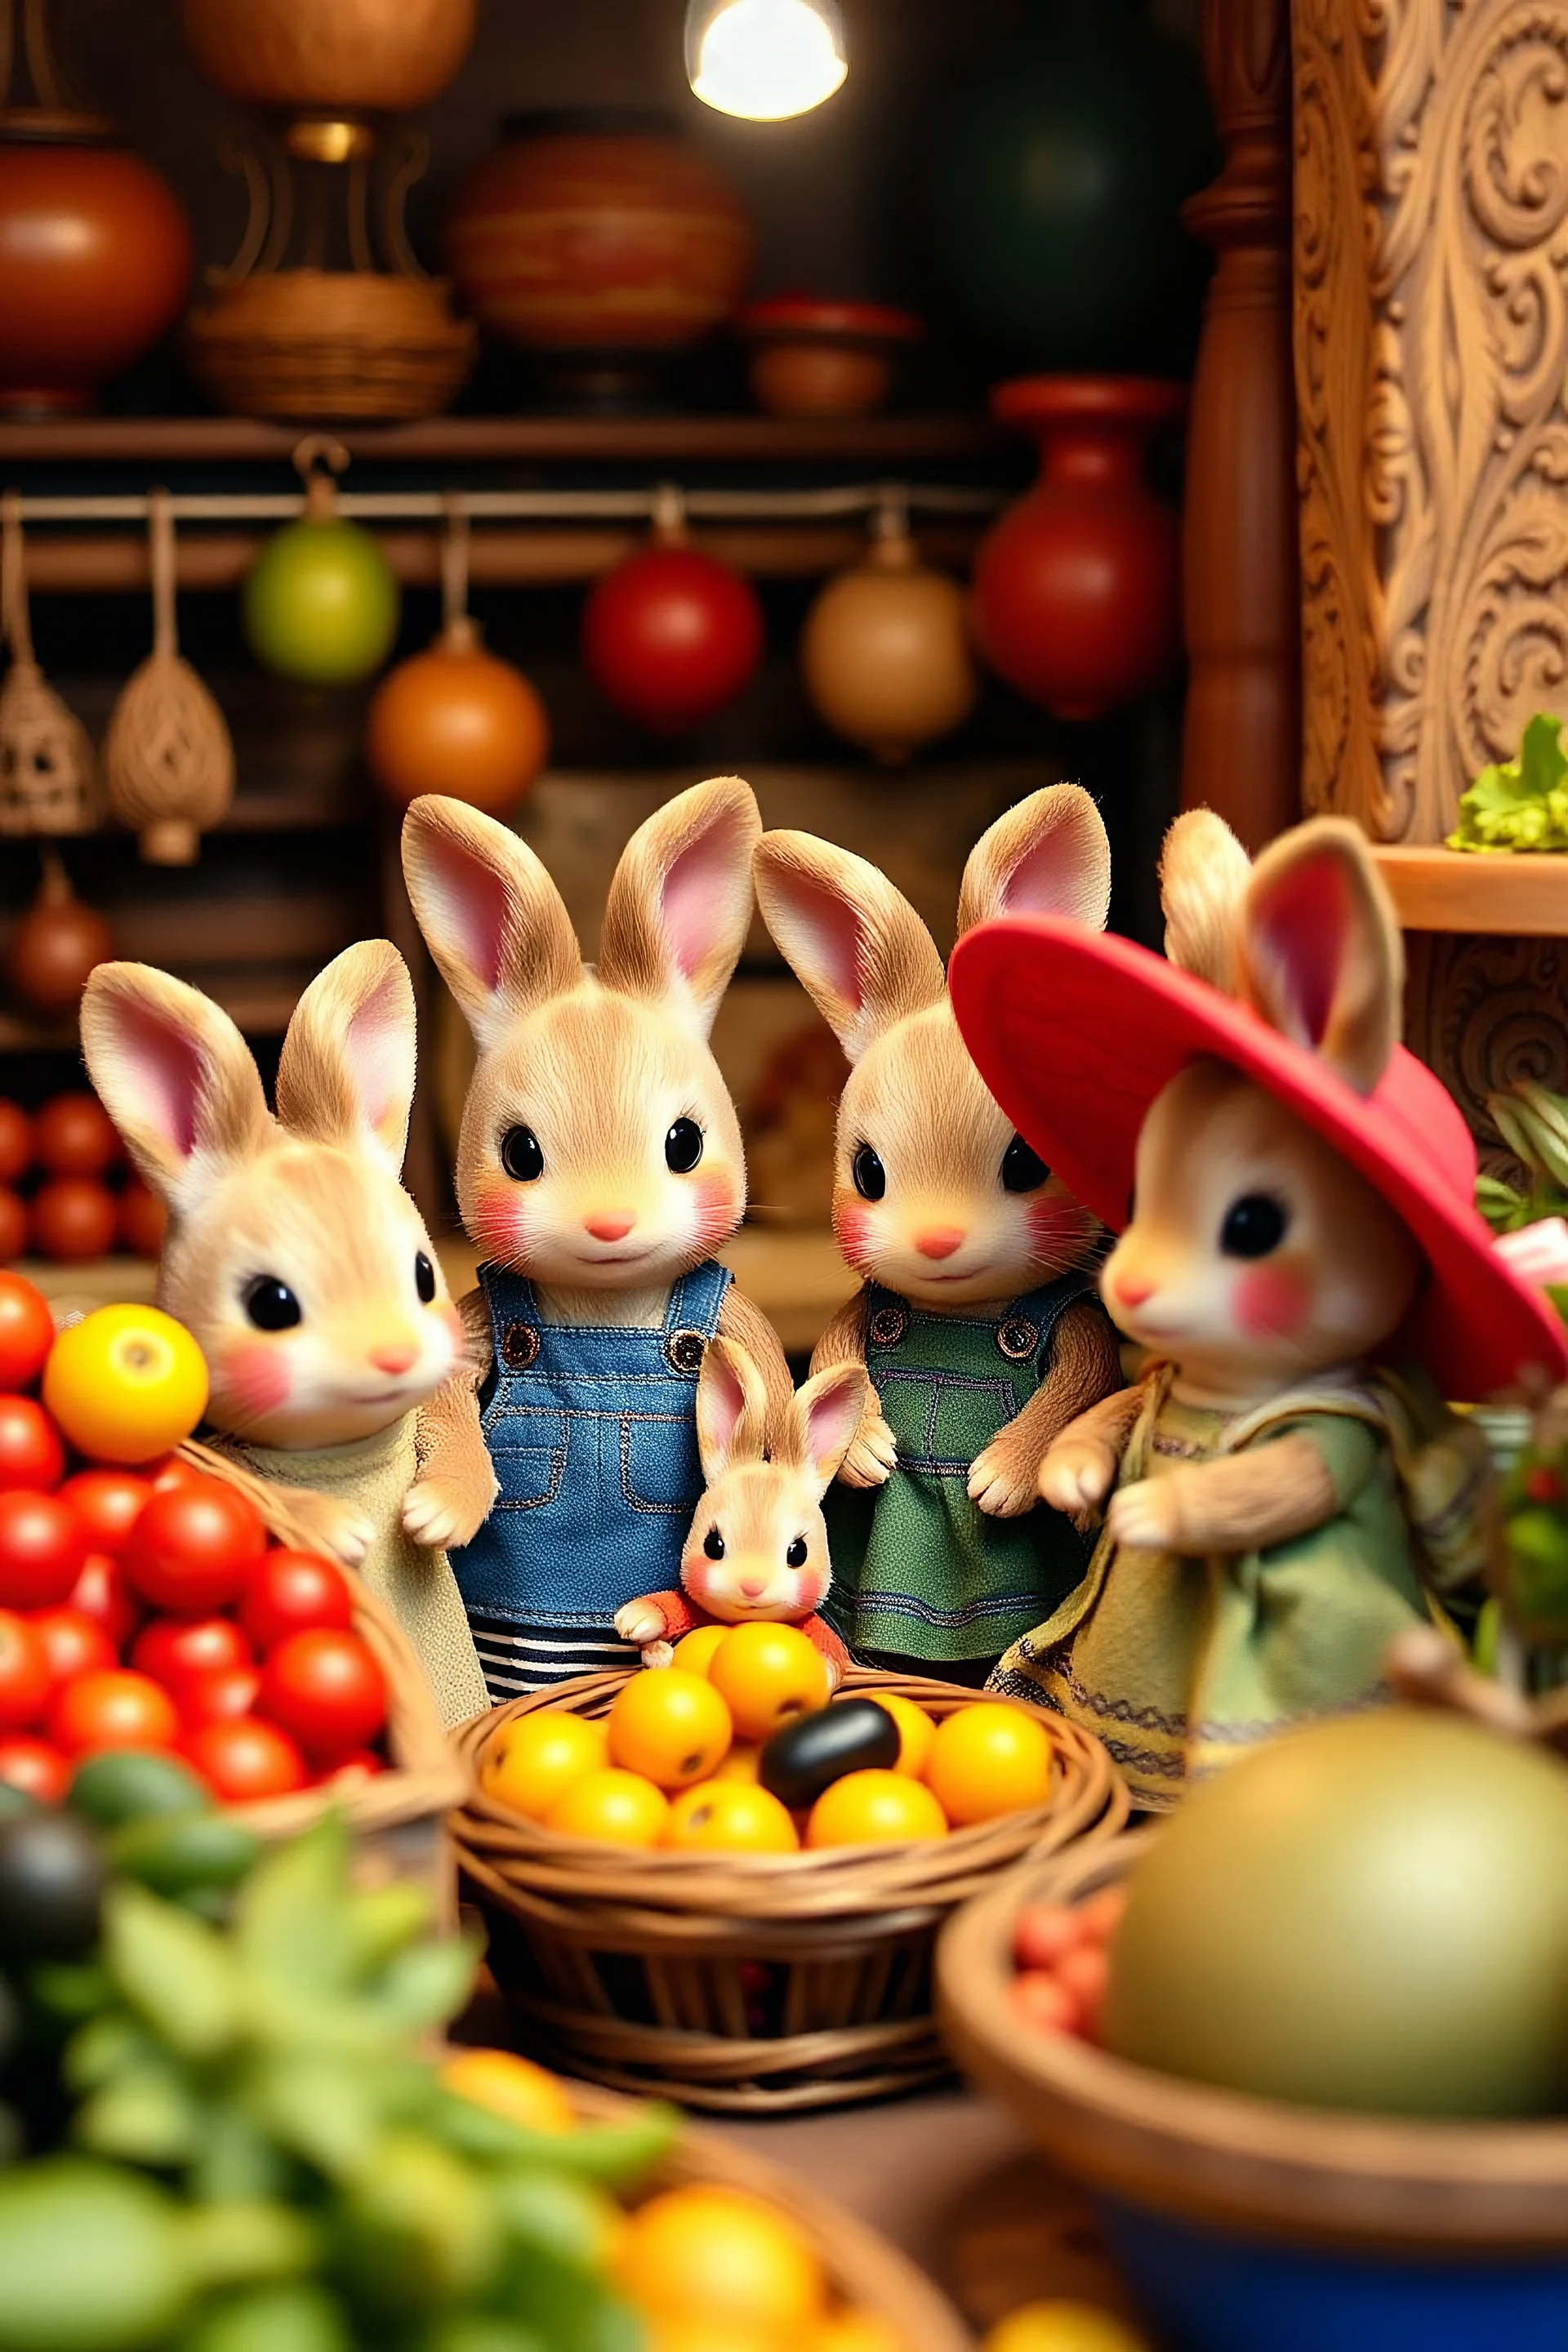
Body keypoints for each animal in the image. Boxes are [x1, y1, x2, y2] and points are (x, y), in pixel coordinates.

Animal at [402, 781, 790, 1703]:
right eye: (521, 1154)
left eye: (684, 1143)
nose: (610, 1223)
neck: (608, 1303)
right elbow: (448, 1399)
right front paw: (442, 1506)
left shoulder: (731, 1316)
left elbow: (781, 1390)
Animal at [945, 808, 1568, 1797]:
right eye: (1136, 1195)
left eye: (1253, 1225)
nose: (1132, 1288)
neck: (1221, 1392)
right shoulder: (1146, 1383)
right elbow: (1104, 1419)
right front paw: (1074, 1482)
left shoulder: (1328, 1431)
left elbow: (1273, 1486)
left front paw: (1144, 1513)